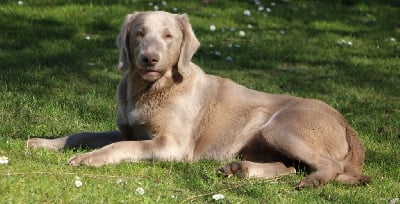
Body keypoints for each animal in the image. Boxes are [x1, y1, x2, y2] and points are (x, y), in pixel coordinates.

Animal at [28, 11, 370, 189]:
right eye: (139, 33)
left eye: (169, 36)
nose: (149, 59)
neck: (148, 90)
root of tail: (345, 122)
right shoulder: (127, 128)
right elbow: (82, 134)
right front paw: (43, 143)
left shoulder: (172, 145)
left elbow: (120, 147)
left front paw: (89, 158)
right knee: (288, 168)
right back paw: (240, 169)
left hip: (280, 128)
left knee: (329, 166)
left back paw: (312, 182)